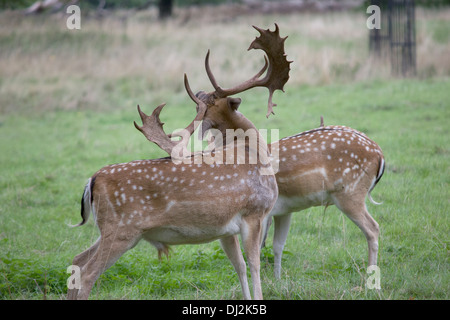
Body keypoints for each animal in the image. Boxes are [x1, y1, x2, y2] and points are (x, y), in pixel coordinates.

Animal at [67, 23, 292, 298]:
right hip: (121, 229)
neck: (254, 151)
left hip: (109, 229)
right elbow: (254, 263)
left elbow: (238, 265)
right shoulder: (254, 212)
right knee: (88, 274)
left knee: (77, 261)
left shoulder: (226, 228)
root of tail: (93, 179)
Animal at [264, 120, 386, 278]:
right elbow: (277, 245)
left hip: (350, 193)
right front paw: (277, 279)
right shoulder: (283, 211)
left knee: (373, 228)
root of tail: (380, 155)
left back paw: (369, 277)